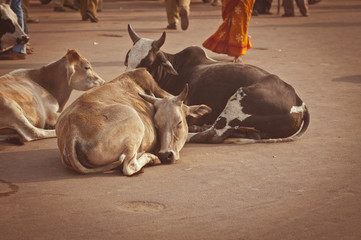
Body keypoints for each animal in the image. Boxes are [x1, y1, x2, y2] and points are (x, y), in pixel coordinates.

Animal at [54, 68, 210, 175]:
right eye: (157, 126)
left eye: (179, 122)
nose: (165, 155)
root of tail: (71, 131)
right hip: (135, 124)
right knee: (129, 166)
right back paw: (150, 158)